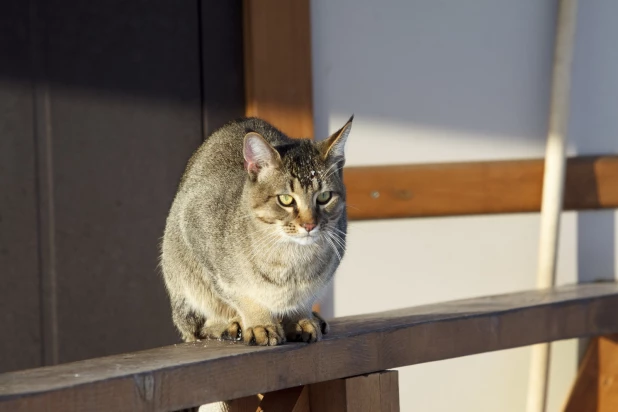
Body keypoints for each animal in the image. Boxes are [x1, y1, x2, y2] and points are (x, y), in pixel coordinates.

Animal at [159, 115, 352, 344]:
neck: (291, 259)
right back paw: (229, 326)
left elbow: (304, 298)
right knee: (198, 328)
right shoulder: (195, 231)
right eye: (285, 199)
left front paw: (300, 318)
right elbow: (242, 297)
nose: (309, 225)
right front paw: (260, 323)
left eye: (324, 197)